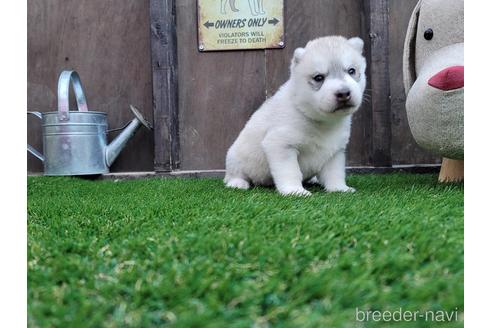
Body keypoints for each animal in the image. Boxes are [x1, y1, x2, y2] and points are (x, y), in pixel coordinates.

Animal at [223, 36, 366, 195]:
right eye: (318, 77)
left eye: (352, 70)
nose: (344, 93)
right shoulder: (281, 145)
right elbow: (290, 171)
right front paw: (295, 191)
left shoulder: (336, 150)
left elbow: (335, 172)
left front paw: (339, 188)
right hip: (235, 157)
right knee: (235, 174)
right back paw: (238, 183)